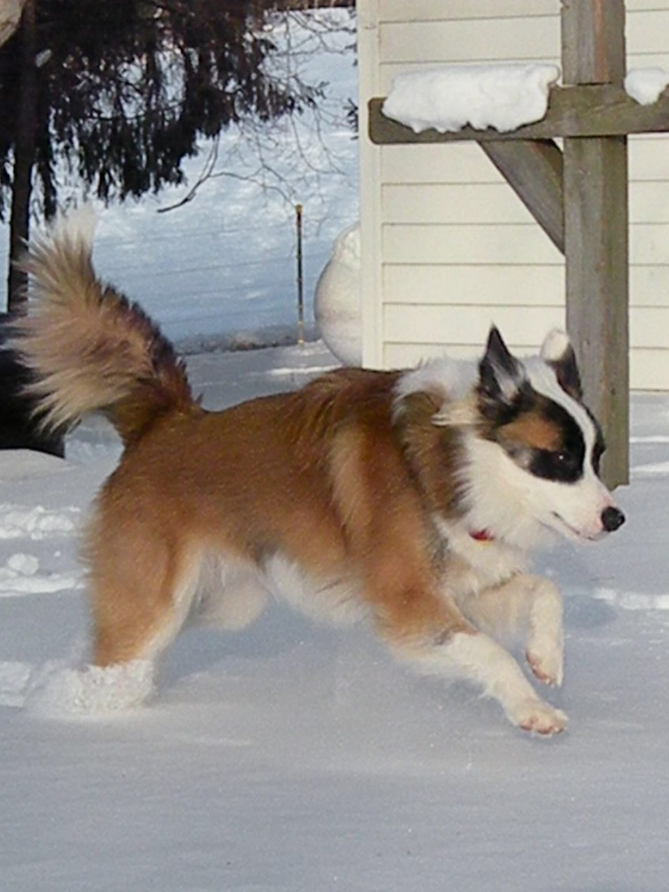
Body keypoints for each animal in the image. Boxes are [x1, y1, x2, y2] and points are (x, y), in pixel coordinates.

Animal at [10, 213, 624, 736]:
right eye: (559, 459)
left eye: (596, 455)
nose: (615, 517)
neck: (445, 464)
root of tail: (167, 421)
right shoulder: (406, 600)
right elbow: (489, 651)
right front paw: (532, 709)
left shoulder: (463, 588)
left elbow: (545, 592)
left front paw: (546, 656)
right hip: (158, 599)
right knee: (120, 654)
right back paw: (74, 706)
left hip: (224, 602)